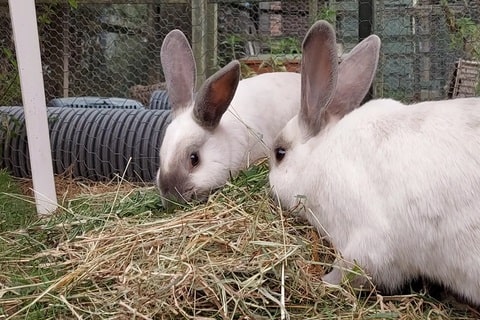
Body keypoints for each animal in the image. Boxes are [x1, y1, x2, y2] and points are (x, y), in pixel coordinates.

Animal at [270, 20, 480, 304]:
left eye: (280, 153)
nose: (268, 186)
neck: (319, 155)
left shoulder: (366, 240)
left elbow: (350, 268)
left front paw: (324, 281)